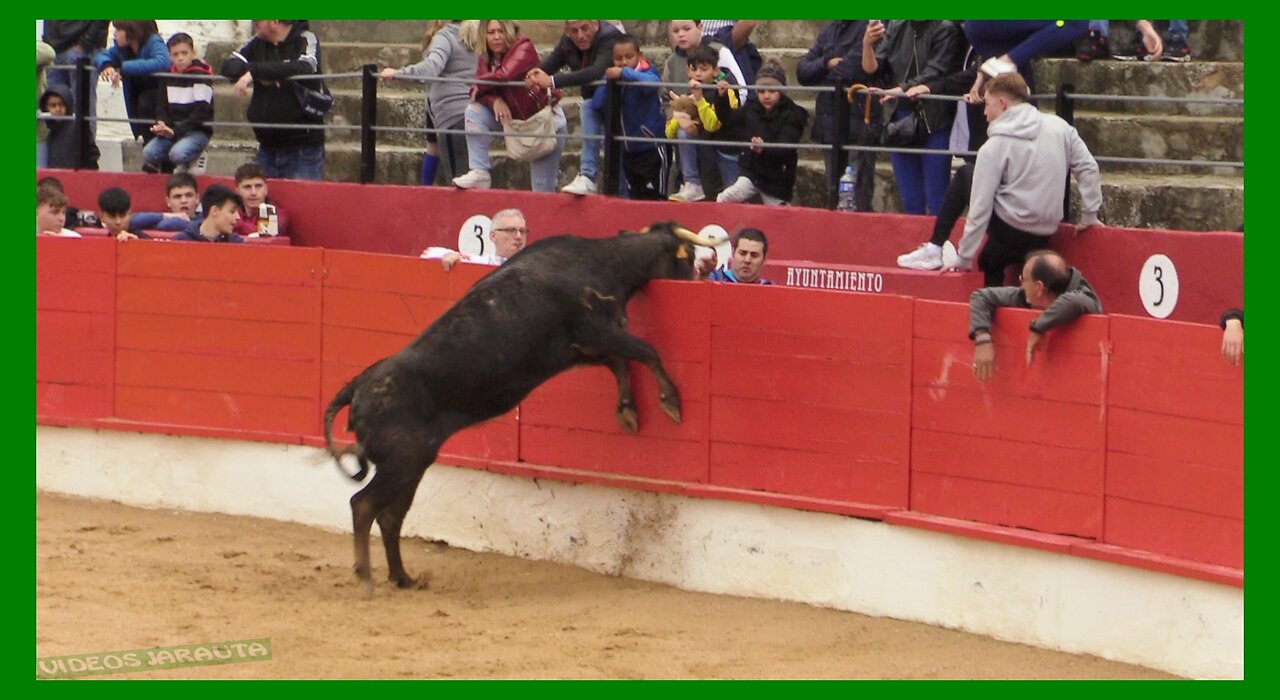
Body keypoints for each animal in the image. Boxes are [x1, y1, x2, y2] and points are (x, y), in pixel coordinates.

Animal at [320, 221, 721, 593]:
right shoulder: (599, 331)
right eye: (687, 259)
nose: (700, 276)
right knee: (364, 505)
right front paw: (671, 403)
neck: (601, 261)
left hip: (411, 465)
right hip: (404, 461)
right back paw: (367, 577)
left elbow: (621, 362)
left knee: (391, 516)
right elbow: (646, 352)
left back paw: (403, 578)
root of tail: (356, 388)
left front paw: (628, 411)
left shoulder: (582, 349)